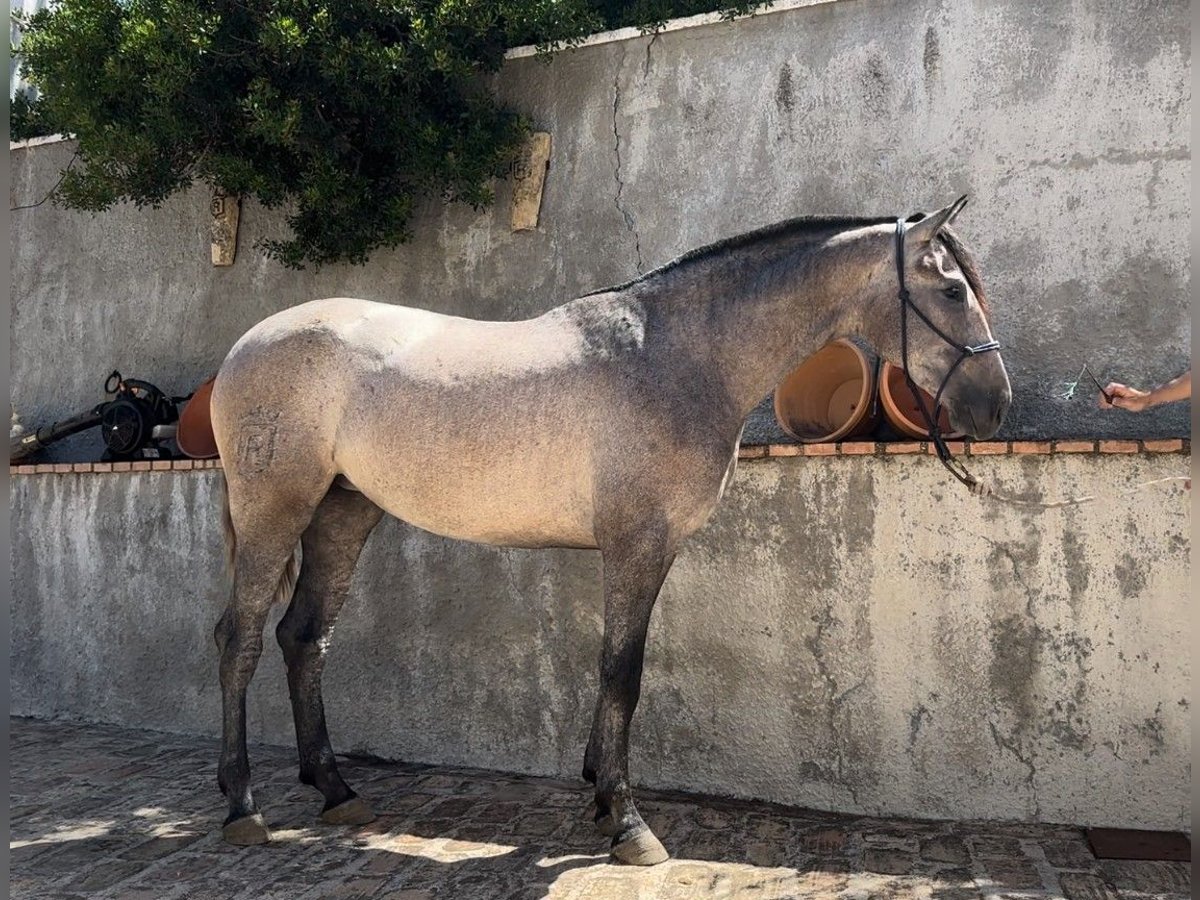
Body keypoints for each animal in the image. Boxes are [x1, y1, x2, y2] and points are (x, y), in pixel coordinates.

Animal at [208, 196, 1012, 868]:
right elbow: (622, 671)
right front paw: (629, 824)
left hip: (343, 512)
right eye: (951, 292)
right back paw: (243, 806)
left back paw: (336, 792)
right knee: (241, 639)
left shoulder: (647, 551)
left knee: (304, 638)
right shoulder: (637, 545)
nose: (995, 405)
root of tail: (247, 343)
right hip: (274, 509)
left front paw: (600, 797)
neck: (677, 357)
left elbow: (616, 669)